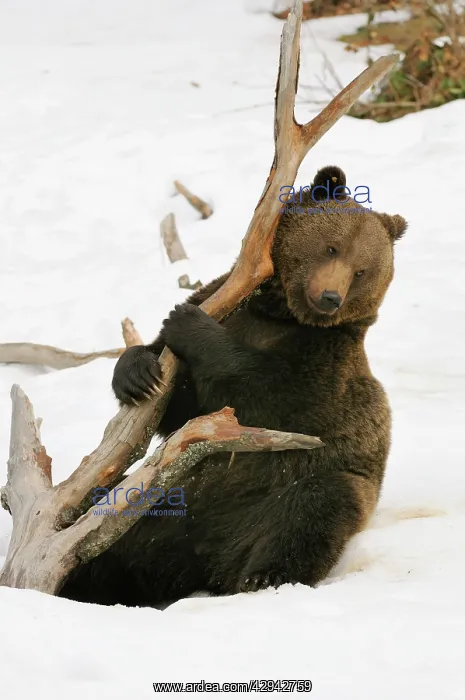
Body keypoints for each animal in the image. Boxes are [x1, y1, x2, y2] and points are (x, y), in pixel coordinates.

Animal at [58, 166, 407, 607]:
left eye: (362, 270)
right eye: (331, 248)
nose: (330, 297)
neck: (279, 313)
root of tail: (201, 560)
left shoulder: (326, 363)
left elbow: (268, 394)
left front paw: (187, 323)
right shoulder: (225, 303)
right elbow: (181, 405)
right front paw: (138, 375)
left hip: (281, 495)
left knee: (313, 511)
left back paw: (261, 579)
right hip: (157, 509)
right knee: (105, 535)